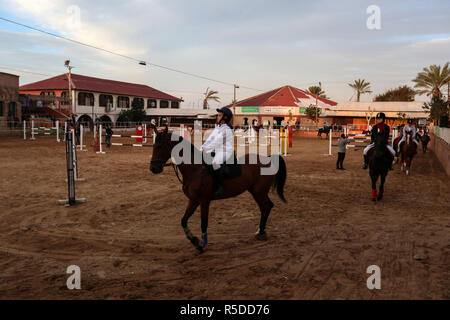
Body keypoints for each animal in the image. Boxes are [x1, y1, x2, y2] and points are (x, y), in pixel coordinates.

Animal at [149, 125, 286, 252]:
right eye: (154, 146)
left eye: (160, 146)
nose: (153, 168)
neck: (195, 169)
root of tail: (268, 159)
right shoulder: (193, 200)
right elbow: (183, 220)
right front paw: (194, 241)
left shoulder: (204, 201)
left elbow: (204, 223)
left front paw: (202, 244)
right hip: (256, 191)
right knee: (266, 207)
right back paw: (260, 231)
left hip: (259, 192)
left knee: (266, 206)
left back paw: (261, 232)